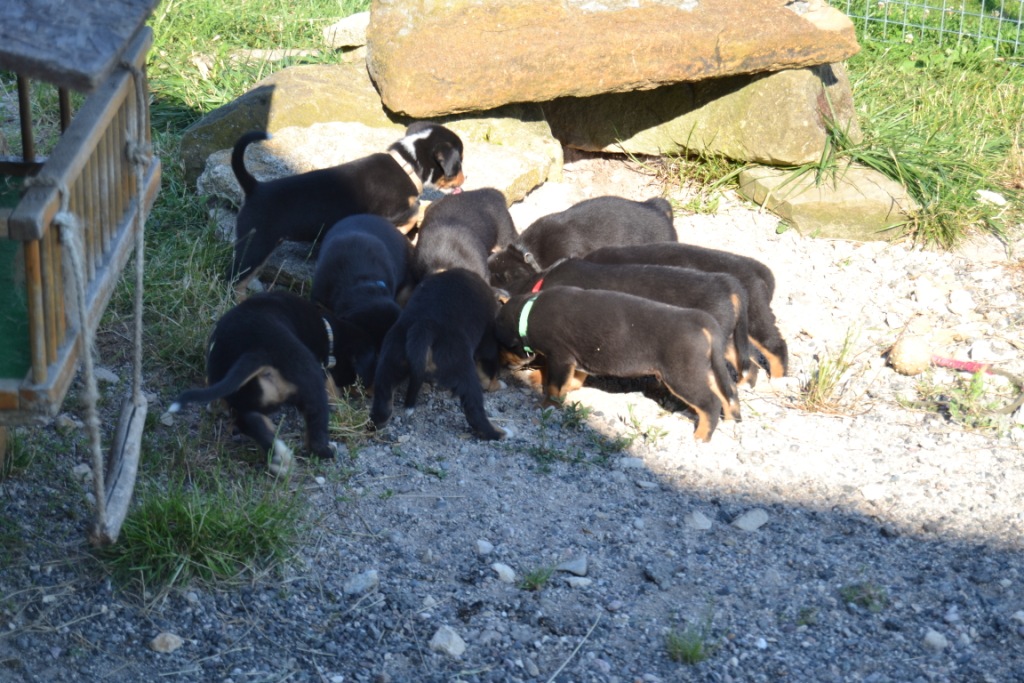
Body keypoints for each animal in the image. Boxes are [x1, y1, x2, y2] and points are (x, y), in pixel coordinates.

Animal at [167, 291, 376, 476]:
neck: (327, 330)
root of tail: (258, 351)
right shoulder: (322, 368)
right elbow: (331, 385)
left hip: (245, 397)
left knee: (253, 423)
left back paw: (280, 460)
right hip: (309, 379)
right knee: (315, 424)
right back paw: (325, 451)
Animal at [229, 121, 465, 287]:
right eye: (459, 163)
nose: (466, 178)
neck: (406, 164)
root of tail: (254, 187)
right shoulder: (388, 213)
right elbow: (413, 212)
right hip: (256, 246)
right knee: (235, 281)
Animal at [371, 268, 505, 440]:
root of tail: (424, 328)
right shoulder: (488, 344)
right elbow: (488, 377)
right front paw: (498, 384)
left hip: (390, 361)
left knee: (383, 402)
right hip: (463, 370)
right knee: (475, 411)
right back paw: (499, 433)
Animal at [494, 286, 740, 442]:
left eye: (501, 346)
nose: (501, 366)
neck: (527, 314)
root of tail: (700, 320)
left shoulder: (559, 356)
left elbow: (555, 385)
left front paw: (547, 404)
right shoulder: (576, 358)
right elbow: (575, 379)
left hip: (682, 375)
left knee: (710, 403)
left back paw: (702, 436)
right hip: (703, 369)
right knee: (726, 393)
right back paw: (729, 420)